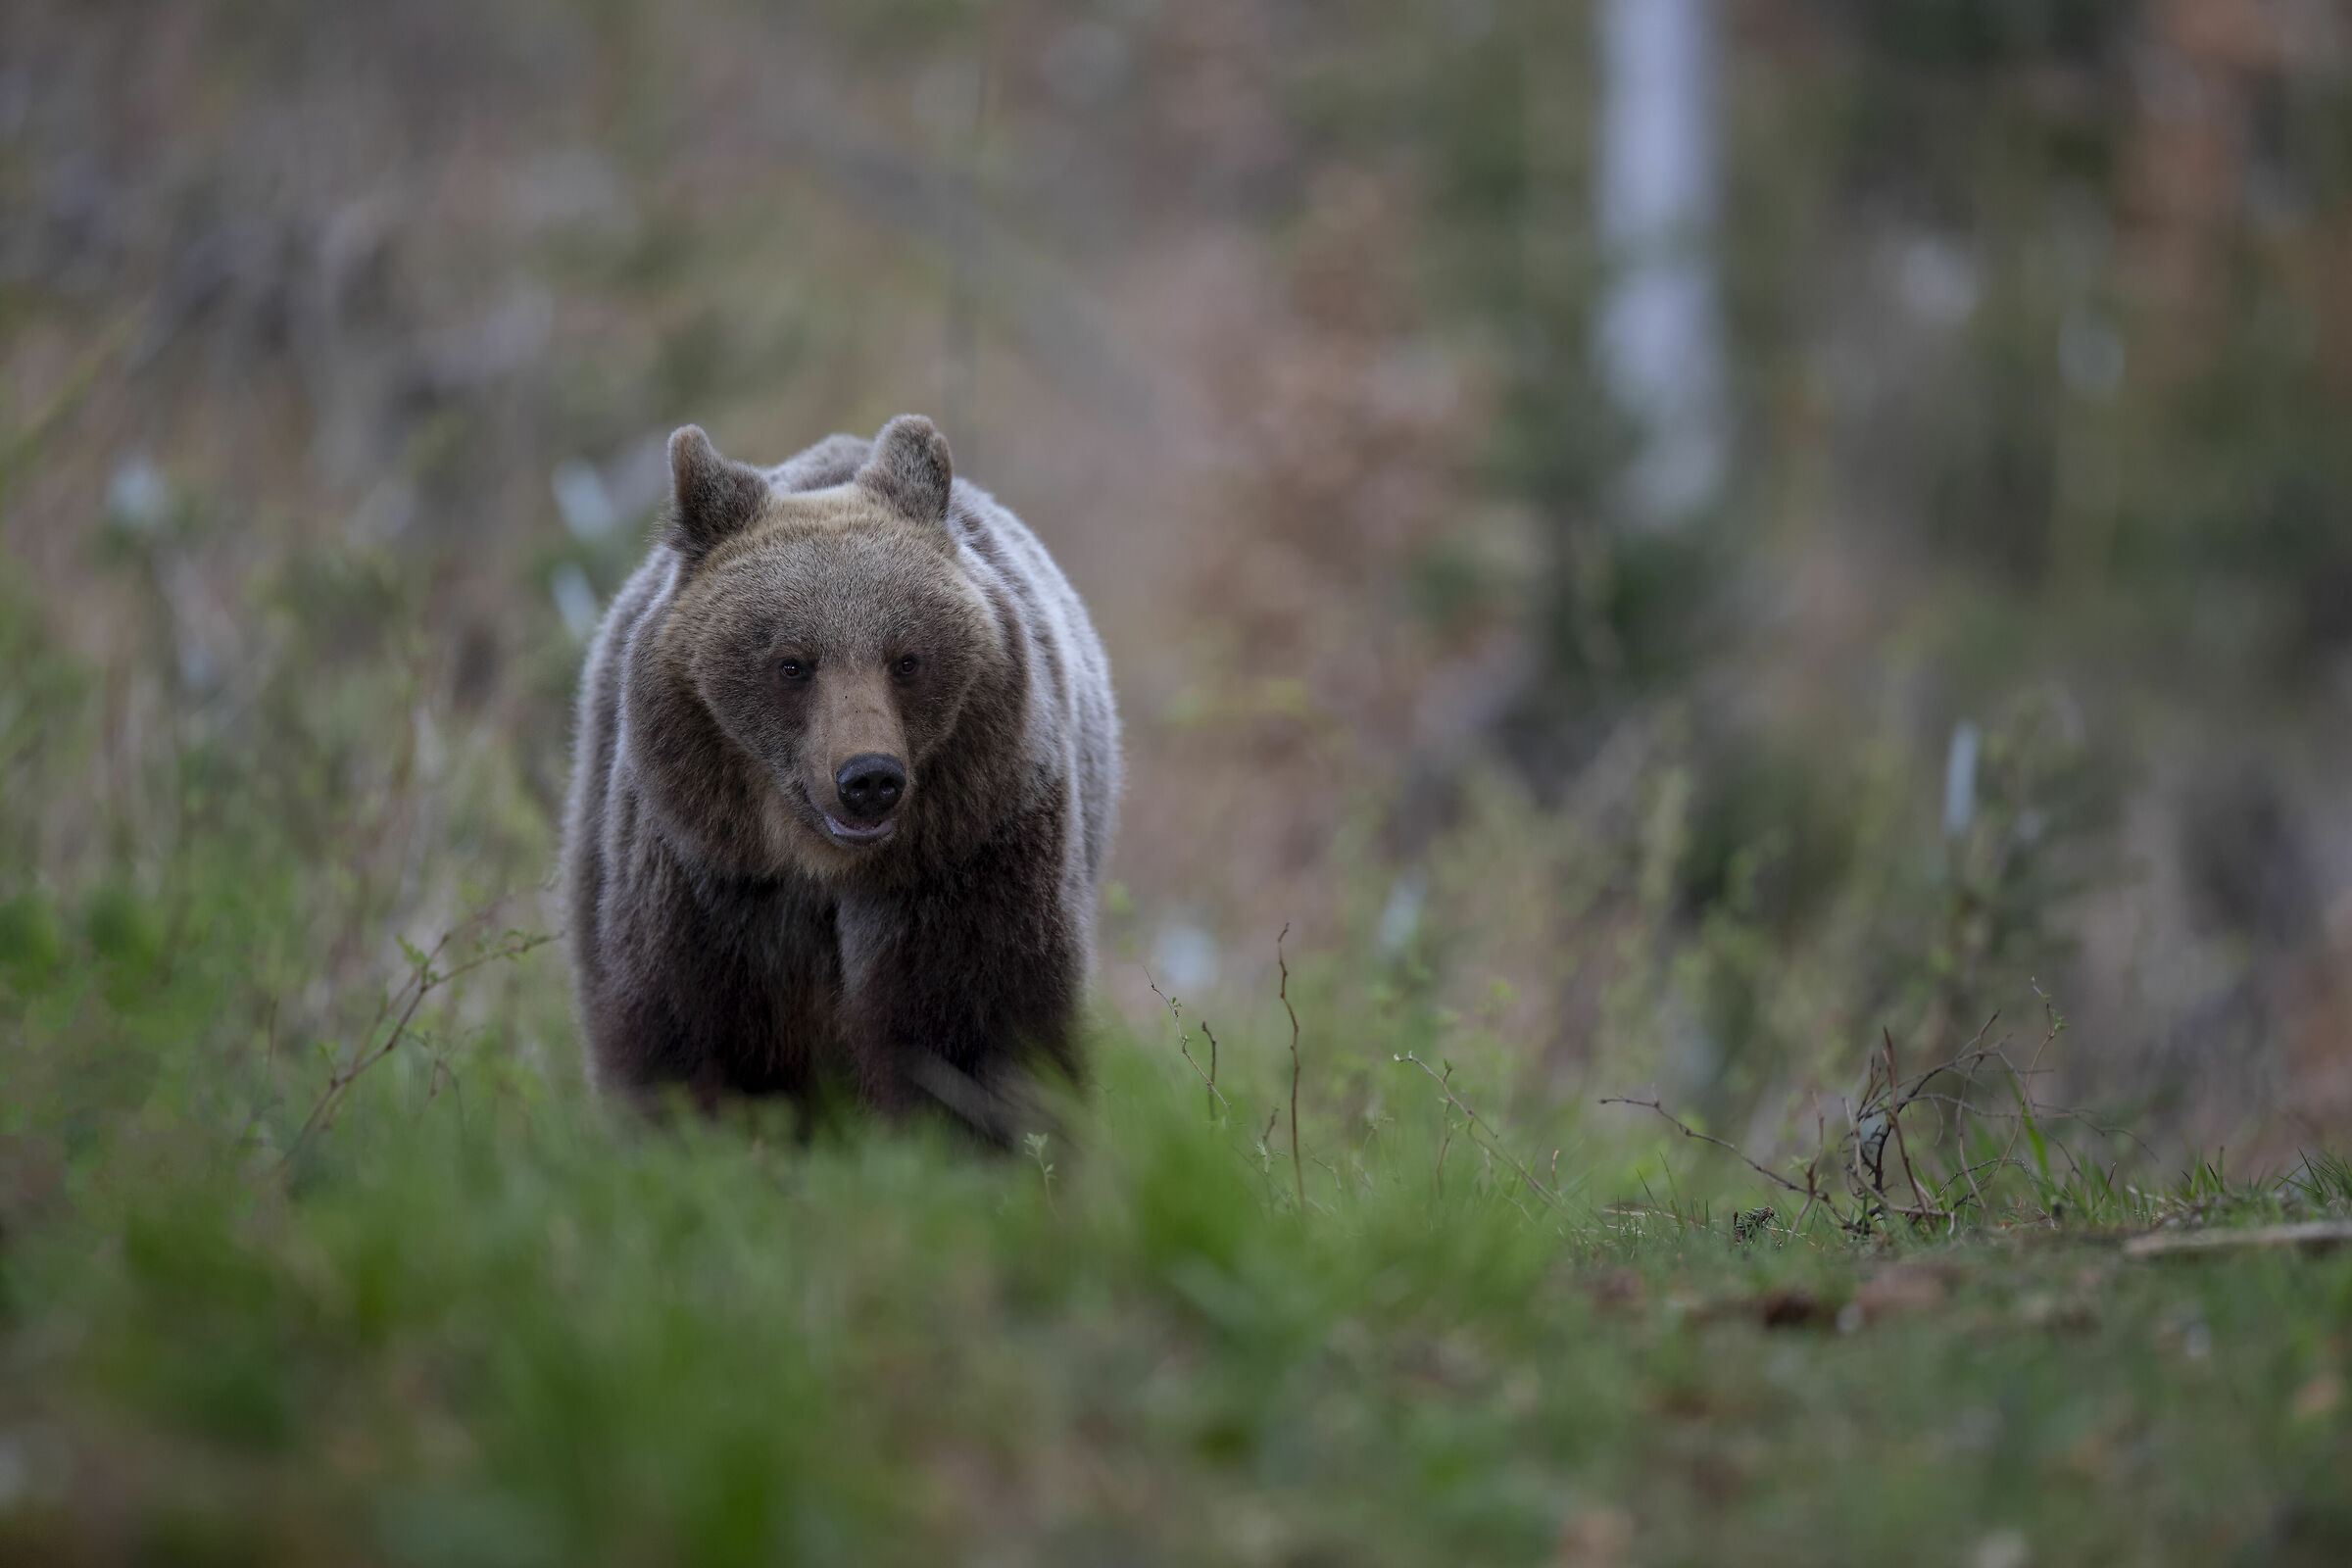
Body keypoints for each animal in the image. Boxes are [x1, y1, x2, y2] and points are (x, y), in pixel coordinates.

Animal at [561, 414, 1120, 1139]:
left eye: (907, 658)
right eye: (792, 663)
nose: (870, 778)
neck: (822, 869)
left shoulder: (970, 857)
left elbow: (976, 1032)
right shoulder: (708, 881)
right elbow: (688, 1035)